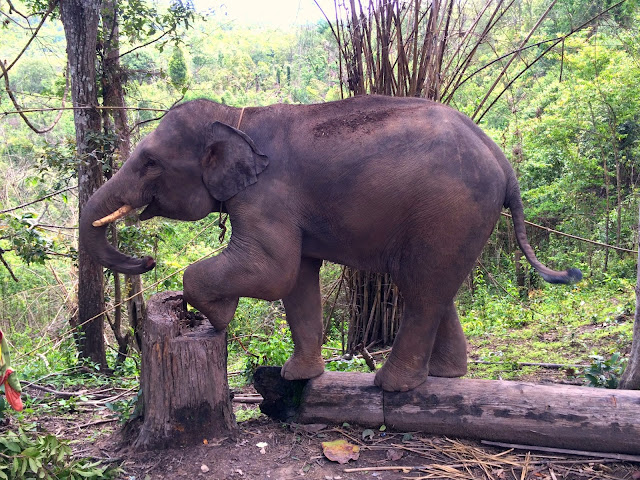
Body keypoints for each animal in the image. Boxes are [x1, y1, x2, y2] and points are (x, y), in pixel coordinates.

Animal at [79, 95, 580, 392]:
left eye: (149, 162)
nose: (146, 259)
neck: (237, 115)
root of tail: (503, 161)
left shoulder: (269, 194)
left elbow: (274, 270)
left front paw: (216, 319)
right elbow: (297, 278)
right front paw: (296, 376)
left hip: (450, 210)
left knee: (419, 288)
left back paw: (392, 385)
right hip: (459, 219)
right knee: (437, 288)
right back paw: (444, 375)